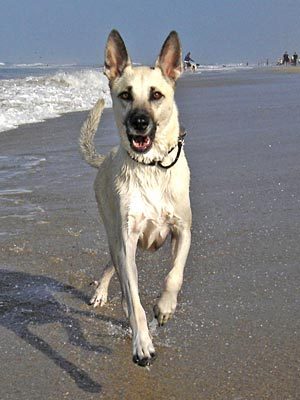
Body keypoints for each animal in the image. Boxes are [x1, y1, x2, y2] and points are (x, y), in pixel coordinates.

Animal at [79, 29, 192, 368]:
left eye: (156, 95)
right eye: (126, 95)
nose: (139, 122)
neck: (150, 167)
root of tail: (106, 157)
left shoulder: (183, 230)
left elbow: (174, 275)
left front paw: (164, 308)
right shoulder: (127, 238)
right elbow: (133, 297)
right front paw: (142, 343)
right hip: (115, 232)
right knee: (115, 265)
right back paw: (104, 294)